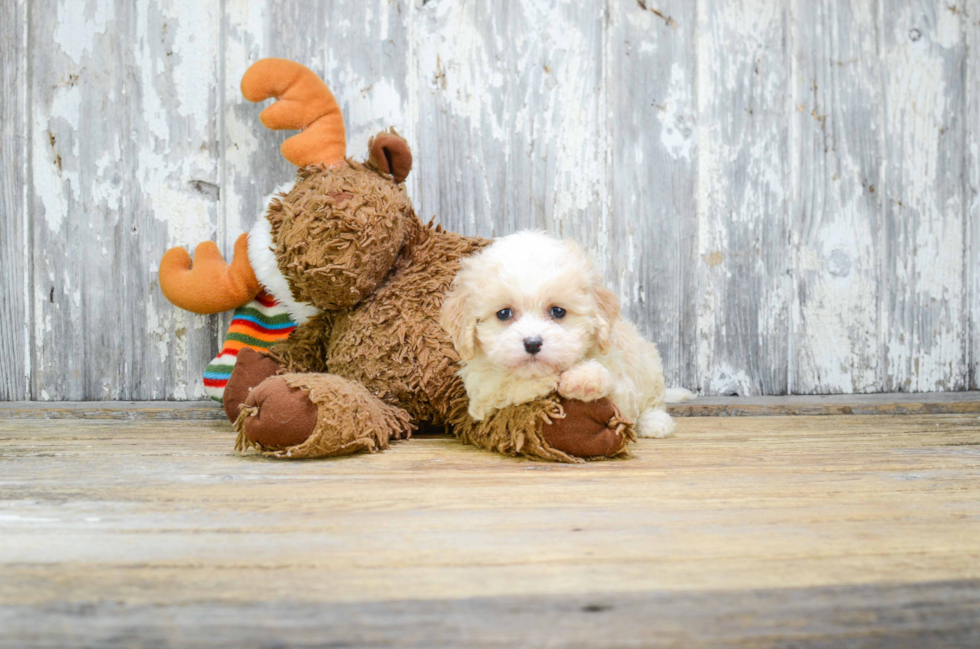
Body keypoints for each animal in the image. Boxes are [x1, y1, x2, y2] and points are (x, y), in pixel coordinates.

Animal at [440, 230, 676, 438]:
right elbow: (503, 386)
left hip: (648, 366)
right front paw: (543, 382)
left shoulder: (622, 387)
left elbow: (613, 389)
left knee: (655, 401)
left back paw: (655, 424)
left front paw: (584, 378)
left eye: (558, 311)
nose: (532, 343)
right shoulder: (481, 394)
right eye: (504, 313)